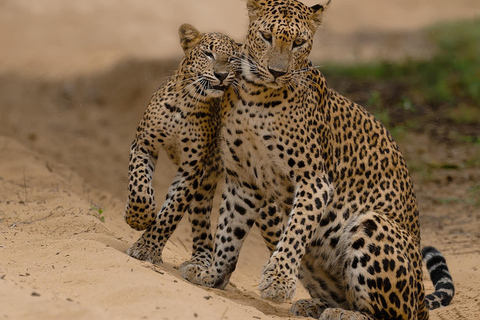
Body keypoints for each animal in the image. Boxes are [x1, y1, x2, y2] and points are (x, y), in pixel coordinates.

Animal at [124, 23, 239, 266]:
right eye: (208, 53)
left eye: (233, 58)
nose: (221, 75)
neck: (187, 103)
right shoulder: (144, 143)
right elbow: (139, 187)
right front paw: (139, 218)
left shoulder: (192, 169)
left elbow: (172, 211)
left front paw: (147, 249)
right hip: (204, 190)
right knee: (203, 228)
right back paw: (199, 263)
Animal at [181, 1, 454, 318]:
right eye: (266, 36)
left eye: (299, 43)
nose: (276, 72)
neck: (256, 96)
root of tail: (420, 300)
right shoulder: (243, 181)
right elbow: (228, 231)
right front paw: (212, 274)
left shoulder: (314, 180)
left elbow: (296, 231)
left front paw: (277, 282)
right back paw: (315, 305)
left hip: (372, 224)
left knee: (389, 313)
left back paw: (344, 313)